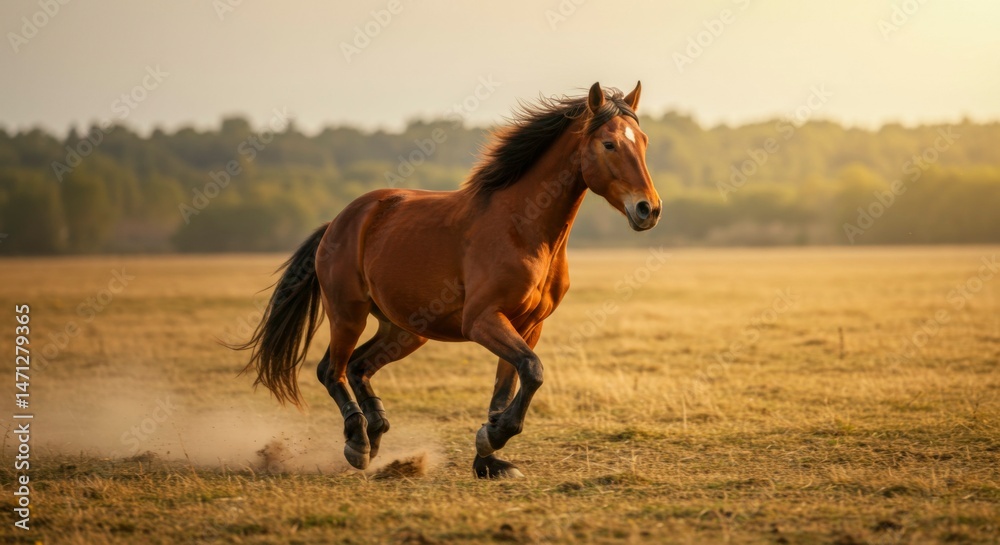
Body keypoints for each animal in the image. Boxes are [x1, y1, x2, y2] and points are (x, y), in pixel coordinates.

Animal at [234, 81, 661, 478]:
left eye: (643, 141)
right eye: (609, 144)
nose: (648, 209)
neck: (523, 228)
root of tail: (340, 221)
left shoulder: (528, 325)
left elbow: (508, 387)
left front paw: (489, 458)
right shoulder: (482, 320)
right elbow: (533, 371)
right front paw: (492, 437)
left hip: (404, 330)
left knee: (358, 367)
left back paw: (376, 433)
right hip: (348, 314)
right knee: (331, 370)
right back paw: (357, 443)